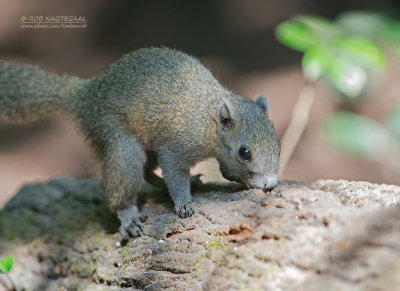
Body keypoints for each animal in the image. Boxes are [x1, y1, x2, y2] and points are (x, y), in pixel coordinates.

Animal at [0, 47, 280, 240]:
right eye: (245, 152)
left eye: (278, 143)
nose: (271, 184)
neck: (206, 122)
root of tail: (84, 96)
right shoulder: (175, 146)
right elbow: (174, 173)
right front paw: (184, 203)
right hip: (119, 139)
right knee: (126, 177)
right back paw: (129, 217)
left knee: (146, 171)